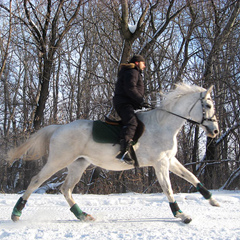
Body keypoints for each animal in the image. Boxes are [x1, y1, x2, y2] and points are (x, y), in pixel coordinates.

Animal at [7, 83, 219, 224]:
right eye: (208, 106)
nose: (215, 131)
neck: (163, 124)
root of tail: (59, 128)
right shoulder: (160, 164)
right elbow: (168, 189)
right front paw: (181, 215)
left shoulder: (170, 160)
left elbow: (191, 177)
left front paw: (213, 200)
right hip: (58, 161)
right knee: (36, 181)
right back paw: (16, 213)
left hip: (78, 164)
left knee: (65, 189)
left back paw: (83, 215)